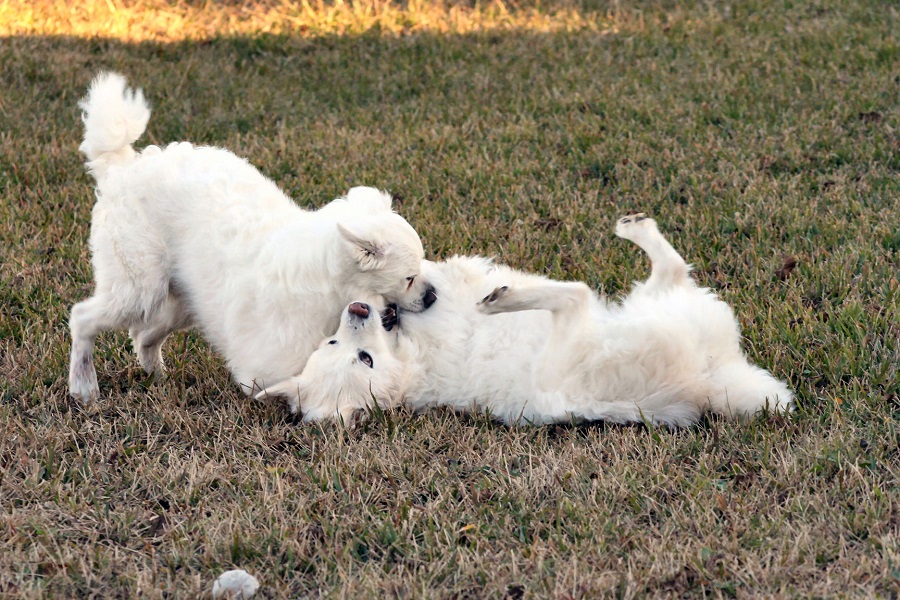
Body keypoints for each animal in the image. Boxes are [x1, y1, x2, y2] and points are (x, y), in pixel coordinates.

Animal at [70, 74, 436, 404]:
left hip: (181, 301)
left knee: (143, 336)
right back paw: (84, 388)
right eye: (408, 278)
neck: (331, 286)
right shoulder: (263, 367)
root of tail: (122, 167)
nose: (432, 296)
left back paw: (157, 377)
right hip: (139, 290)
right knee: (83, 317)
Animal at [262, 213, 796, 424]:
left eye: (338, 348)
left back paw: (634, 228)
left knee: (668, 267)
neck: (408, 355)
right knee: (577, 294)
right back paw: (503, 297)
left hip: (647, 299)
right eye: (364, 360)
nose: (357, 310)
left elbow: (441, 272)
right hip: (582, 342)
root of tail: (713, 377)